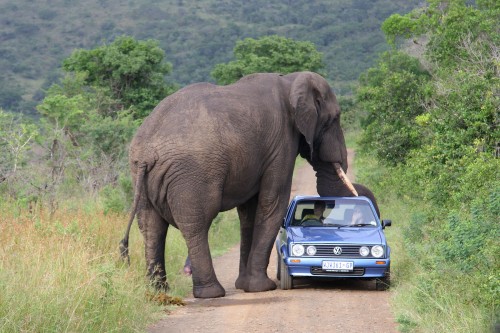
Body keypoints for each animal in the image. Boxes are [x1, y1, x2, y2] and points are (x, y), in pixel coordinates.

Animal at [119, 71, 358, 296]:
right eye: (334, 118)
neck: (291, 81)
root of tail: (147, 152)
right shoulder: (281, 144)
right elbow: (273, 203)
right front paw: (262, 288)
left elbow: (249, 213)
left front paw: (244, 286)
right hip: (192, 175)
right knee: (196, 225)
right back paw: (211, 293)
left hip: (139, 174)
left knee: (151, 227)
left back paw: (158, 292)